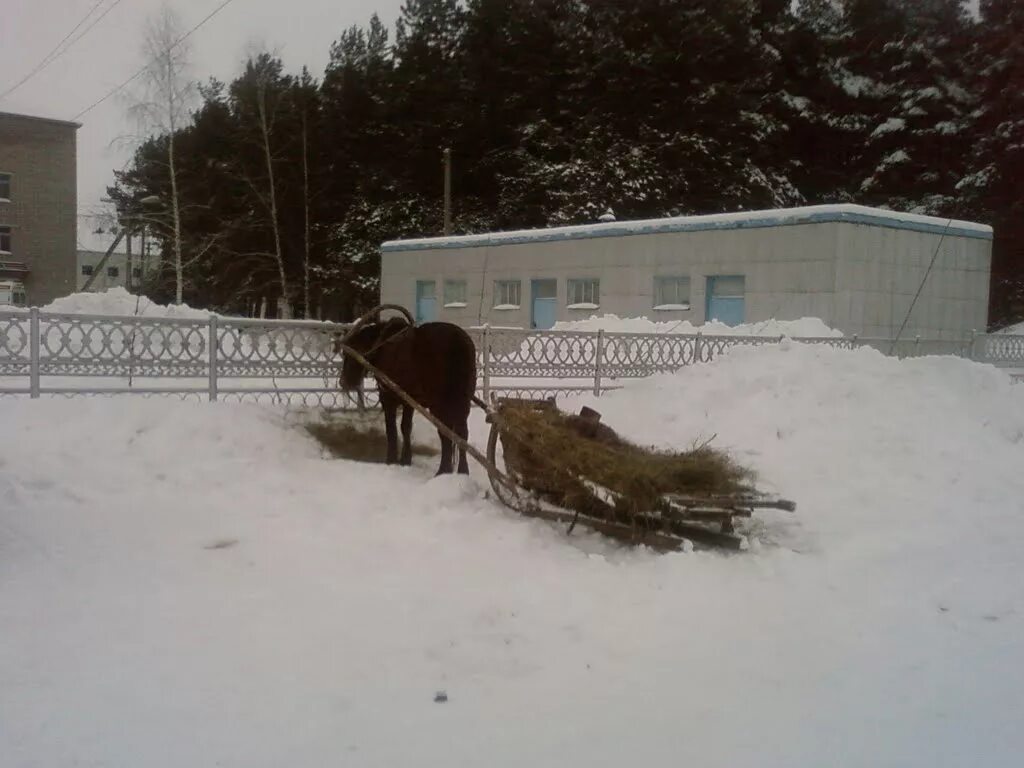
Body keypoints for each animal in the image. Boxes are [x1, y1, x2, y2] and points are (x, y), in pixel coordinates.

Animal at [337, 317, 477, 475]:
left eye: (349, 353)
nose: (343, 382)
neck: (381, 345)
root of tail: (458, 342)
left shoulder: (389, 398)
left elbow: (392, 429)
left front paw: (392, 459)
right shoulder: (409, 400)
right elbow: (406, 427)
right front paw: (405, 459)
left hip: (439, 403)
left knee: (446, 433)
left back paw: (443, 470)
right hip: (463, 400)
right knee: (461, 433)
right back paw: (462, 471)